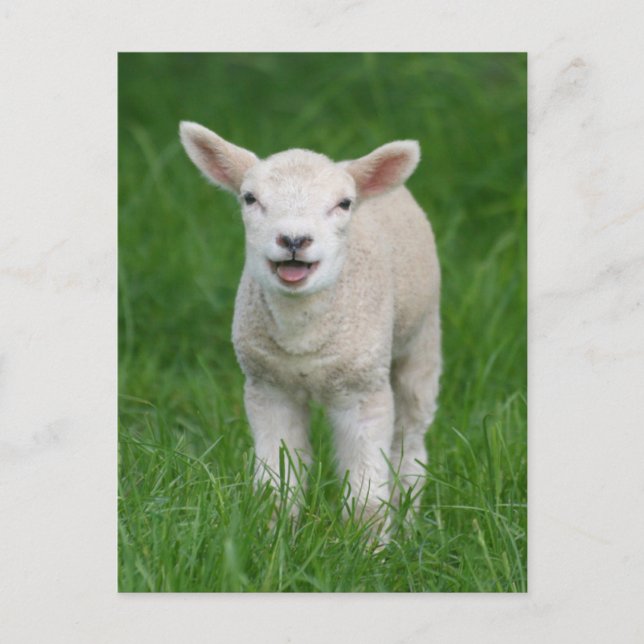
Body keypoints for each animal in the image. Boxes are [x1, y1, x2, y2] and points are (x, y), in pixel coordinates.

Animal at [179, 121, 441, 529]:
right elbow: (277, 483)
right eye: (249, 198)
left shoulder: (363, 391)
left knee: (410, 438)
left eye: (344, 203)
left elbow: (367, 493)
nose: (293, 239)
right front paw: (272, 533)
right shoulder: (269, 388)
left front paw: (365, 544)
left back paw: (409, 517)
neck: (301, 336)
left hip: (422, 338)